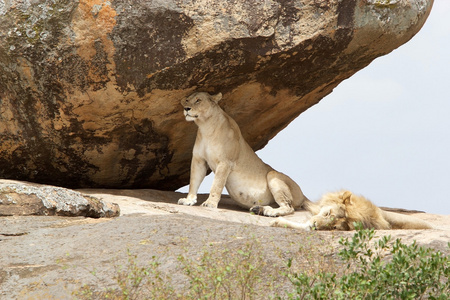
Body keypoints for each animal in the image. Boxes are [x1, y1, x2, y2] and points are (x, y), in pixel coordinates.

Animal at [178, 91, 312, 216]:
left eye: (198, 100)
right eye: (187, 100)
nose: (186, 108)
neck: (205, 126)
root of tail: (303, 195)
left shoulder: (225, 162)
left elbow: (216, 184)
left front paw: (210, 203)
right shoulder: (198, 160)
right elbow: (193, 181)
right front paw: (188, 200)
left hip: (273, 175)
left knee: (289, 208)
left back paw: (269, 212)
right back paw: (259, 209)